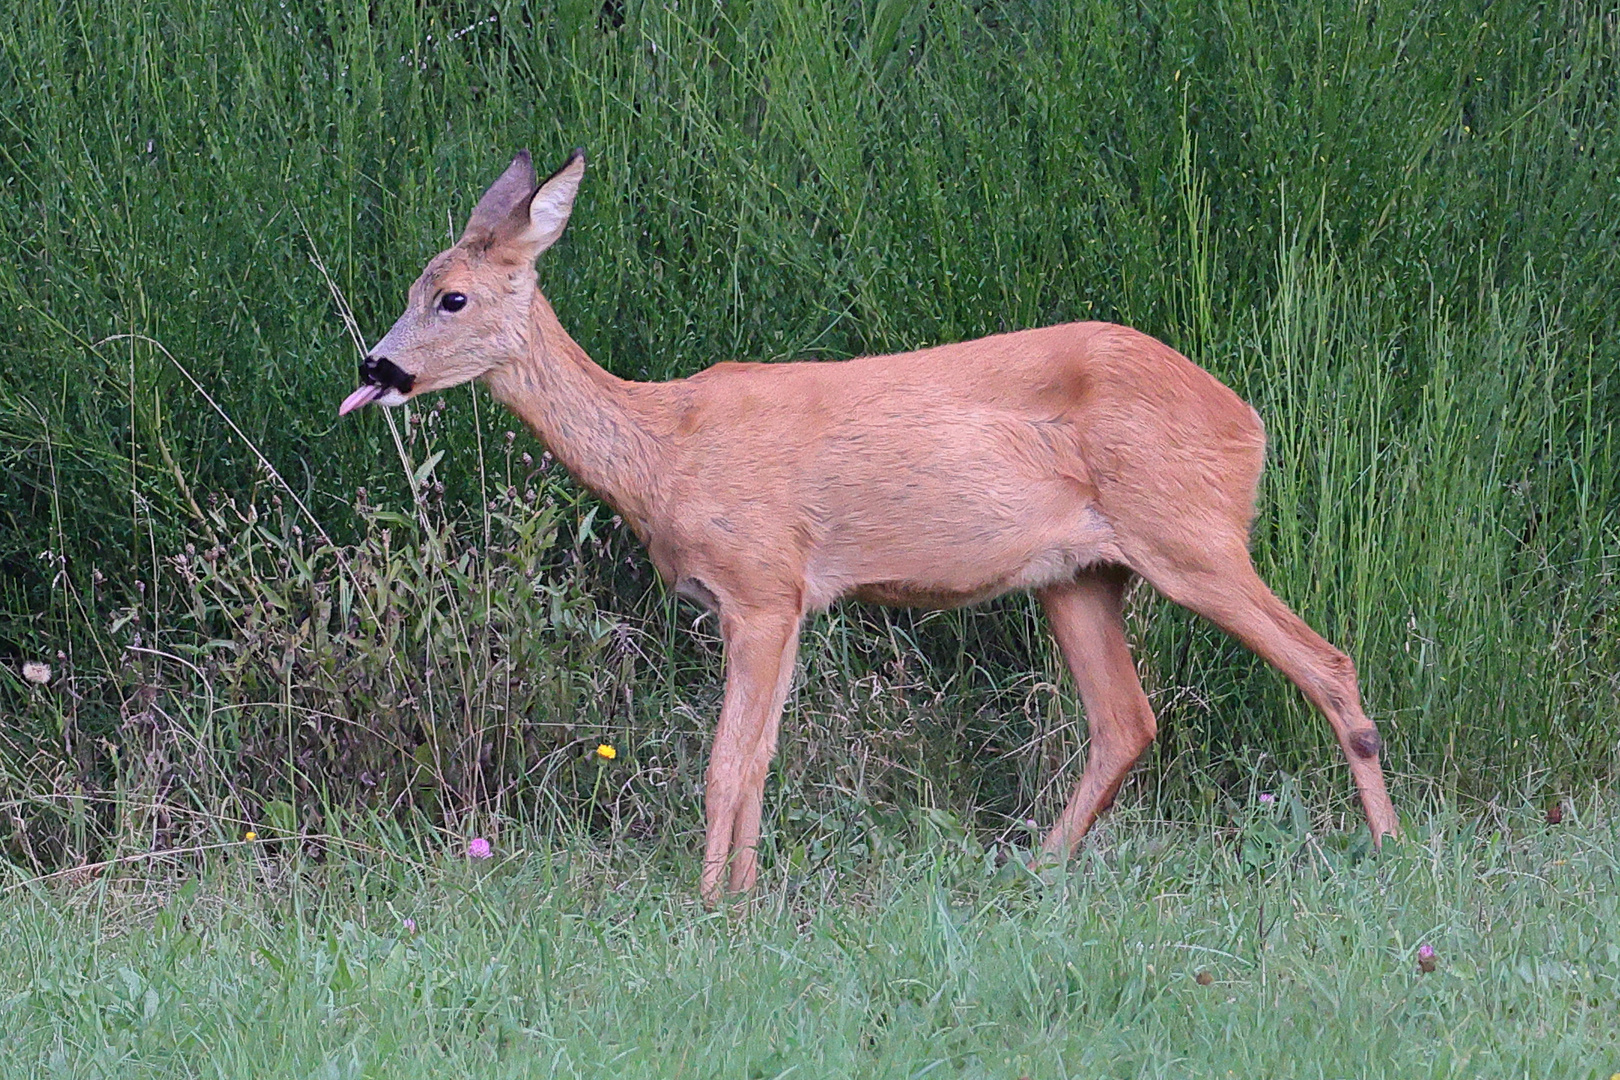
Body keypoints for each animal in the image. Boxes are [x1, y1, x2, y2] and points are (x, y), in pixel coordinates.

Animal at [345, 148, 1406, 900]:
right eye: (412, 289)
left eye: (452, 297)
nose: (376, 367)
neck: (663, 450)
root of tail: (1250, 423)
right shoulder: (779, 602)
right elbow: (757, 761)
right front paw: (745, 896)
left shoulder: (762, 584)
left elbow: (728, 763)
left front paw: (709, 906)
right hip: (1078, 573)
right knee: (1125, 720)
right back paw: (1032, 870)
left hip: (1192, 532)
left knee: (1326, 662)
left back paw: (1390, 850)